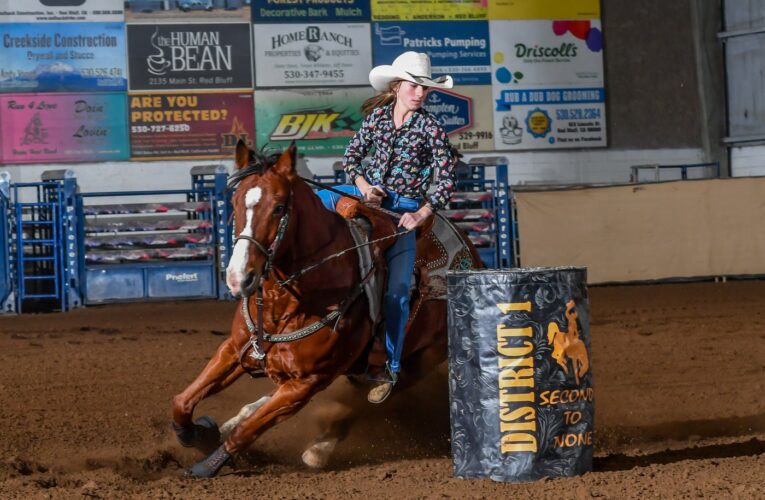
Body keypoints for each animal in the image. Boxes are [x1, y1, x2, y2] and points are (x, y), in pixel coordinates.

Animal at [172, 141, 480, 476]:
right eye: (235, 201)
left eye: (279, 207)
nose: (238, 277)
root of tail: (472, 256)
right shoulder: (234, 349)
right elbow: (182, 402)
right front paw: (200, 432)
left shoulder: (307, 384)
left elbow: (248, 431)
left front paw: (207, 464)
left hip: (419, 360)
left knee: (362, 400)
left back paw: (319, 448)